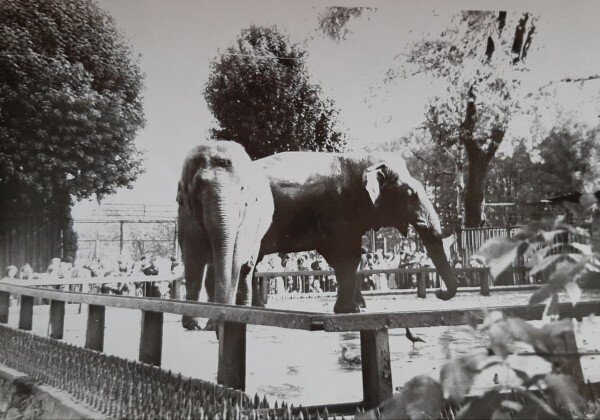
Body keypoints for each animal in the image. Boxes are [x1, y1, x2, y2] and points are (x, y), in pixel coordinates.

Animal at [176, 139, 274, 330]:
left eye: (242, 189)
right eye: (198, 185)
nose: (219, 319)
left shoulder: (245, 222)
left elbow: (234, 260)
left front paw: (222, 321)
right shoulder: (185, 215)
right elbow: (193, 258)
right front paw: (193, 324)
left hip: (258, 236)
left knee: (246, 270)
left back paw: (243, 313)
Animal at [251, 151, 458, 312]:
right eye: (410, 194)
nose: (439, 293)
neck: (361, 161)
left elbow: (352, 257)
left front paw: (357, 307)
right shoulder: (337, 210)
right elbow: (345, 255)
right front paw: (350, 310)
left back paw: (256, 307)